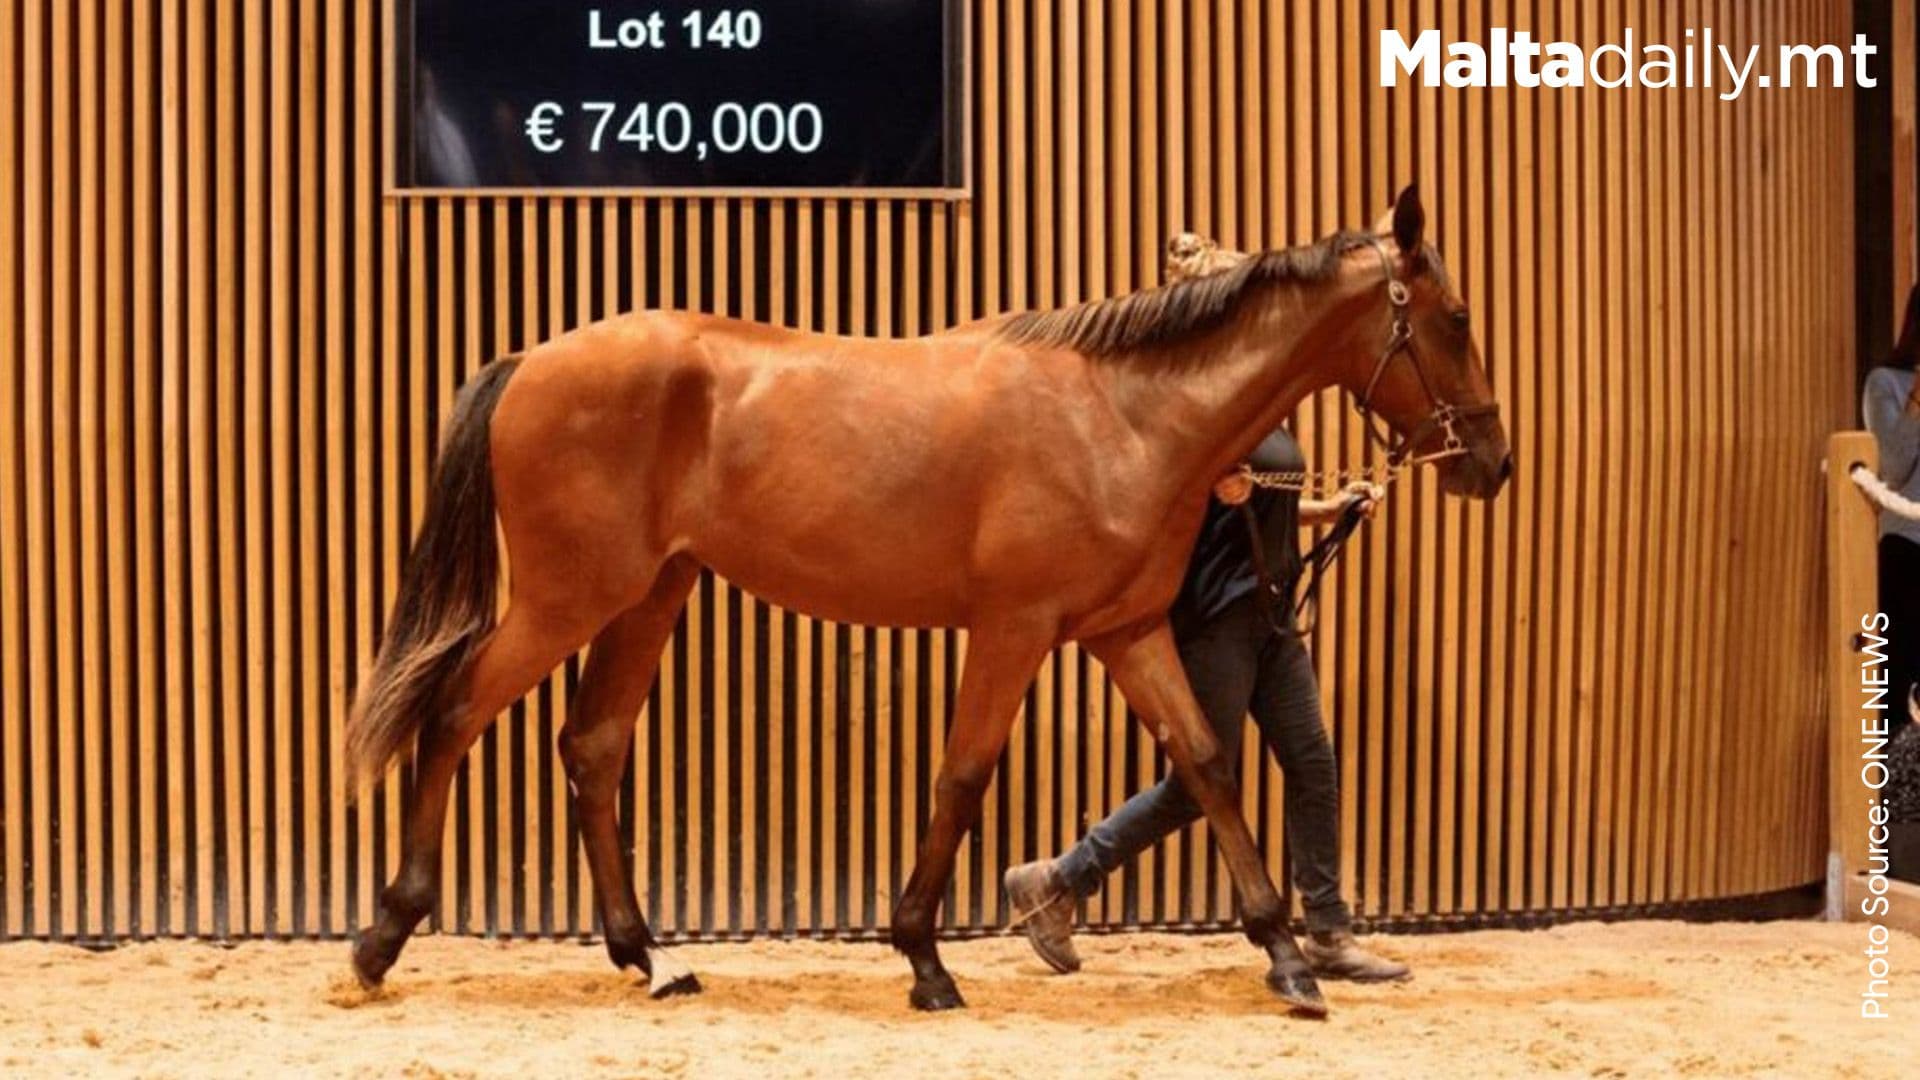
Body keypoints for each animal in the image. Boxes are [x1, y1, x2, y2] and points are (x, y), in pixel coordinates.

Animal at [343, 185, 1510, 1016]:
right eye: (1454, 316)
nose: (1492, 465)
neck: (1125, 414)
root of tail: (532, 357)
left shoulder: (1126, 633)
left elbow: (1211, 765)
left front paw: (1287, 958)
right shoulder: (1013, 630)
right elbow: (961, 776)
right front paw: (925, 959)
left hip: (647, 594)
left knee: (590, 747)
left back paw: (650, 959)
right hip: (569, 597)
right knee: (453, 710)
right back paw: (384, 936)